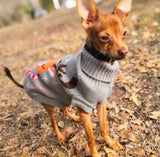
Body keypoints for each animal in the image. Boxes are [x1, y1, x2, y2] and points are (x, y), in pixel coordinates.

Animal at [4, 0, 132, 156]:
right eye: (104, 37)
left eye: (124, 33)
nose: (124, 51)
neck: (99, 65)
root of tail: (26, 77)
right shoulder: (84, 107)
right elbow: (91, 138)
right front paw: (95, 153)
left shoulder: (101, 103)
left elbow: (104, 127)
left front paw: (110, 143)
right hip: (48, 103)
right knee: (53, 122)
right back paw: (59, 136)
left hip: (62, 96)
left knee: (63, 110)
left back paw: (75, 118)